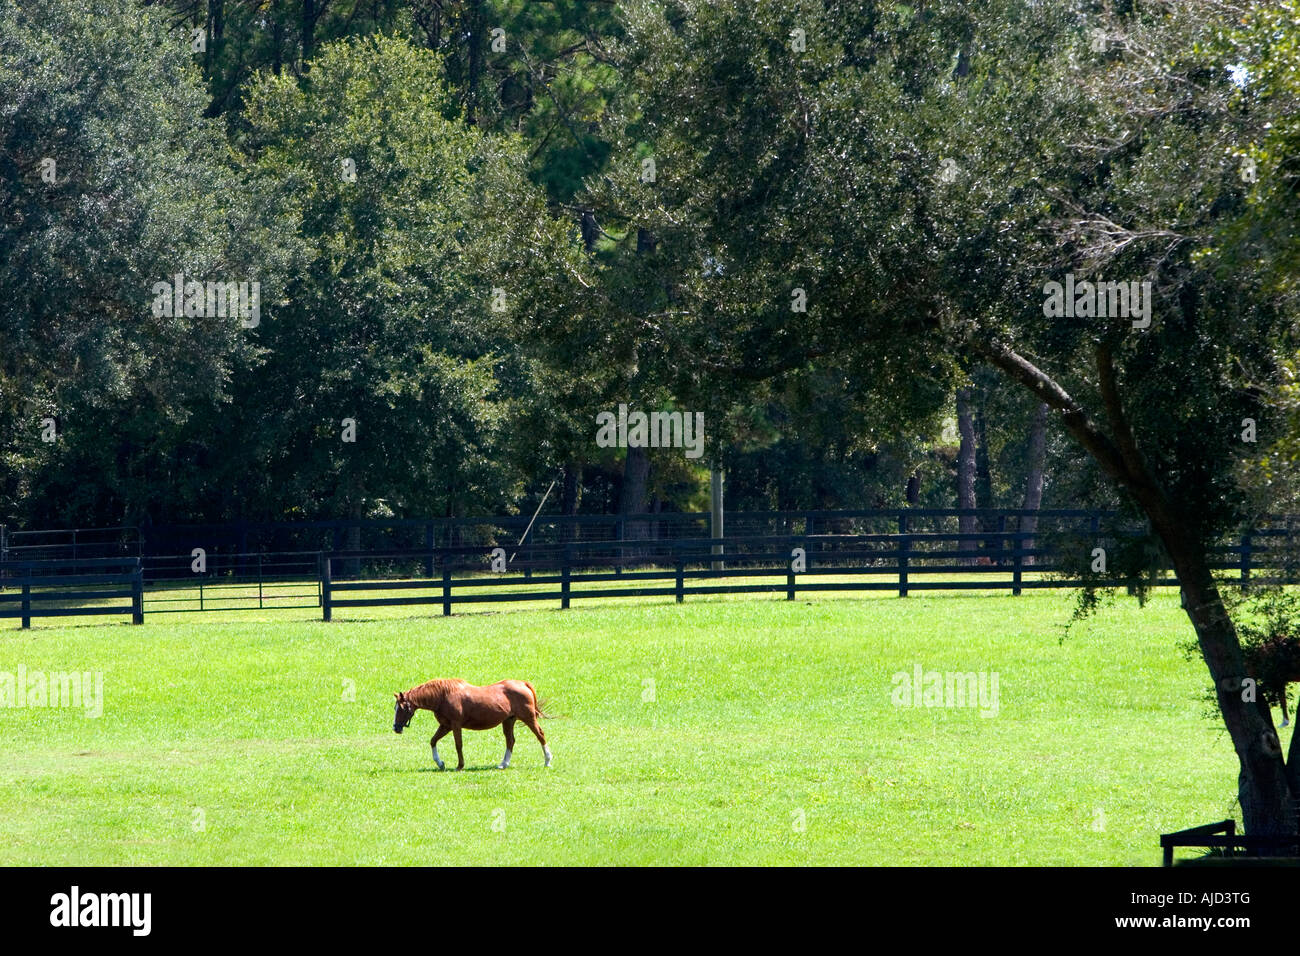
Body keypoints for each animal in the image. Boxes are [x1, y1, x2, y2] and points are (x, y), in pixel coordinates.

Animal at [393, 678, 552, 770]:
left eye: (401, 708)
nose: (396, 728)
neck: (443, 696)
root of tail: (523, 684)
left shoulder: (455, 725)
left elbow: (458, 745)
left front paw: (460, 765)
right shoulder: (445, 726)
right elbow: (433, 741)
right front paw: (440, 763)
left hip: (528, 718)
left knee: (540, 735)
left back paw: (547, 760)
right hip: (508, 721)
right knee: (510, 741)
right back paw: (503, 764)